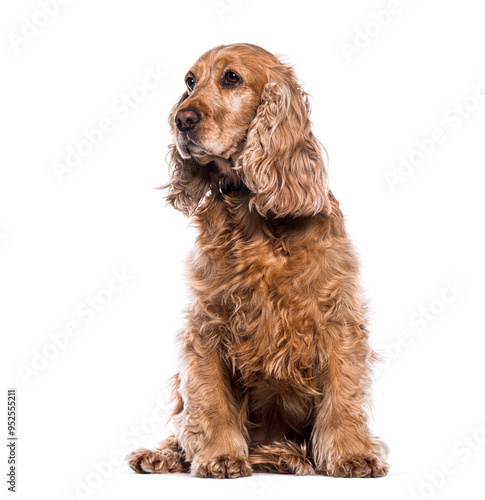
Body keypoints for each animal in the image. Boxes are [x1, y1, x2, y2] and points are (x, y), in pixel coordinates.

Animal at [126, 43, 388, 476]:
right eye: (190, 81)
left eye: (232, 78)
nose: (181, 118)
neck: (254, 211)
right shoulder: (208, 323)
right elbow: (209, 399)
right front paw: (219, 455)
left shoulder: (337, 318)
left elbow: (343, 393)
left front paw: (352, 454)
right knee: (185, 423)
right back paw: (163, 455)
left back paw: (283, 455)